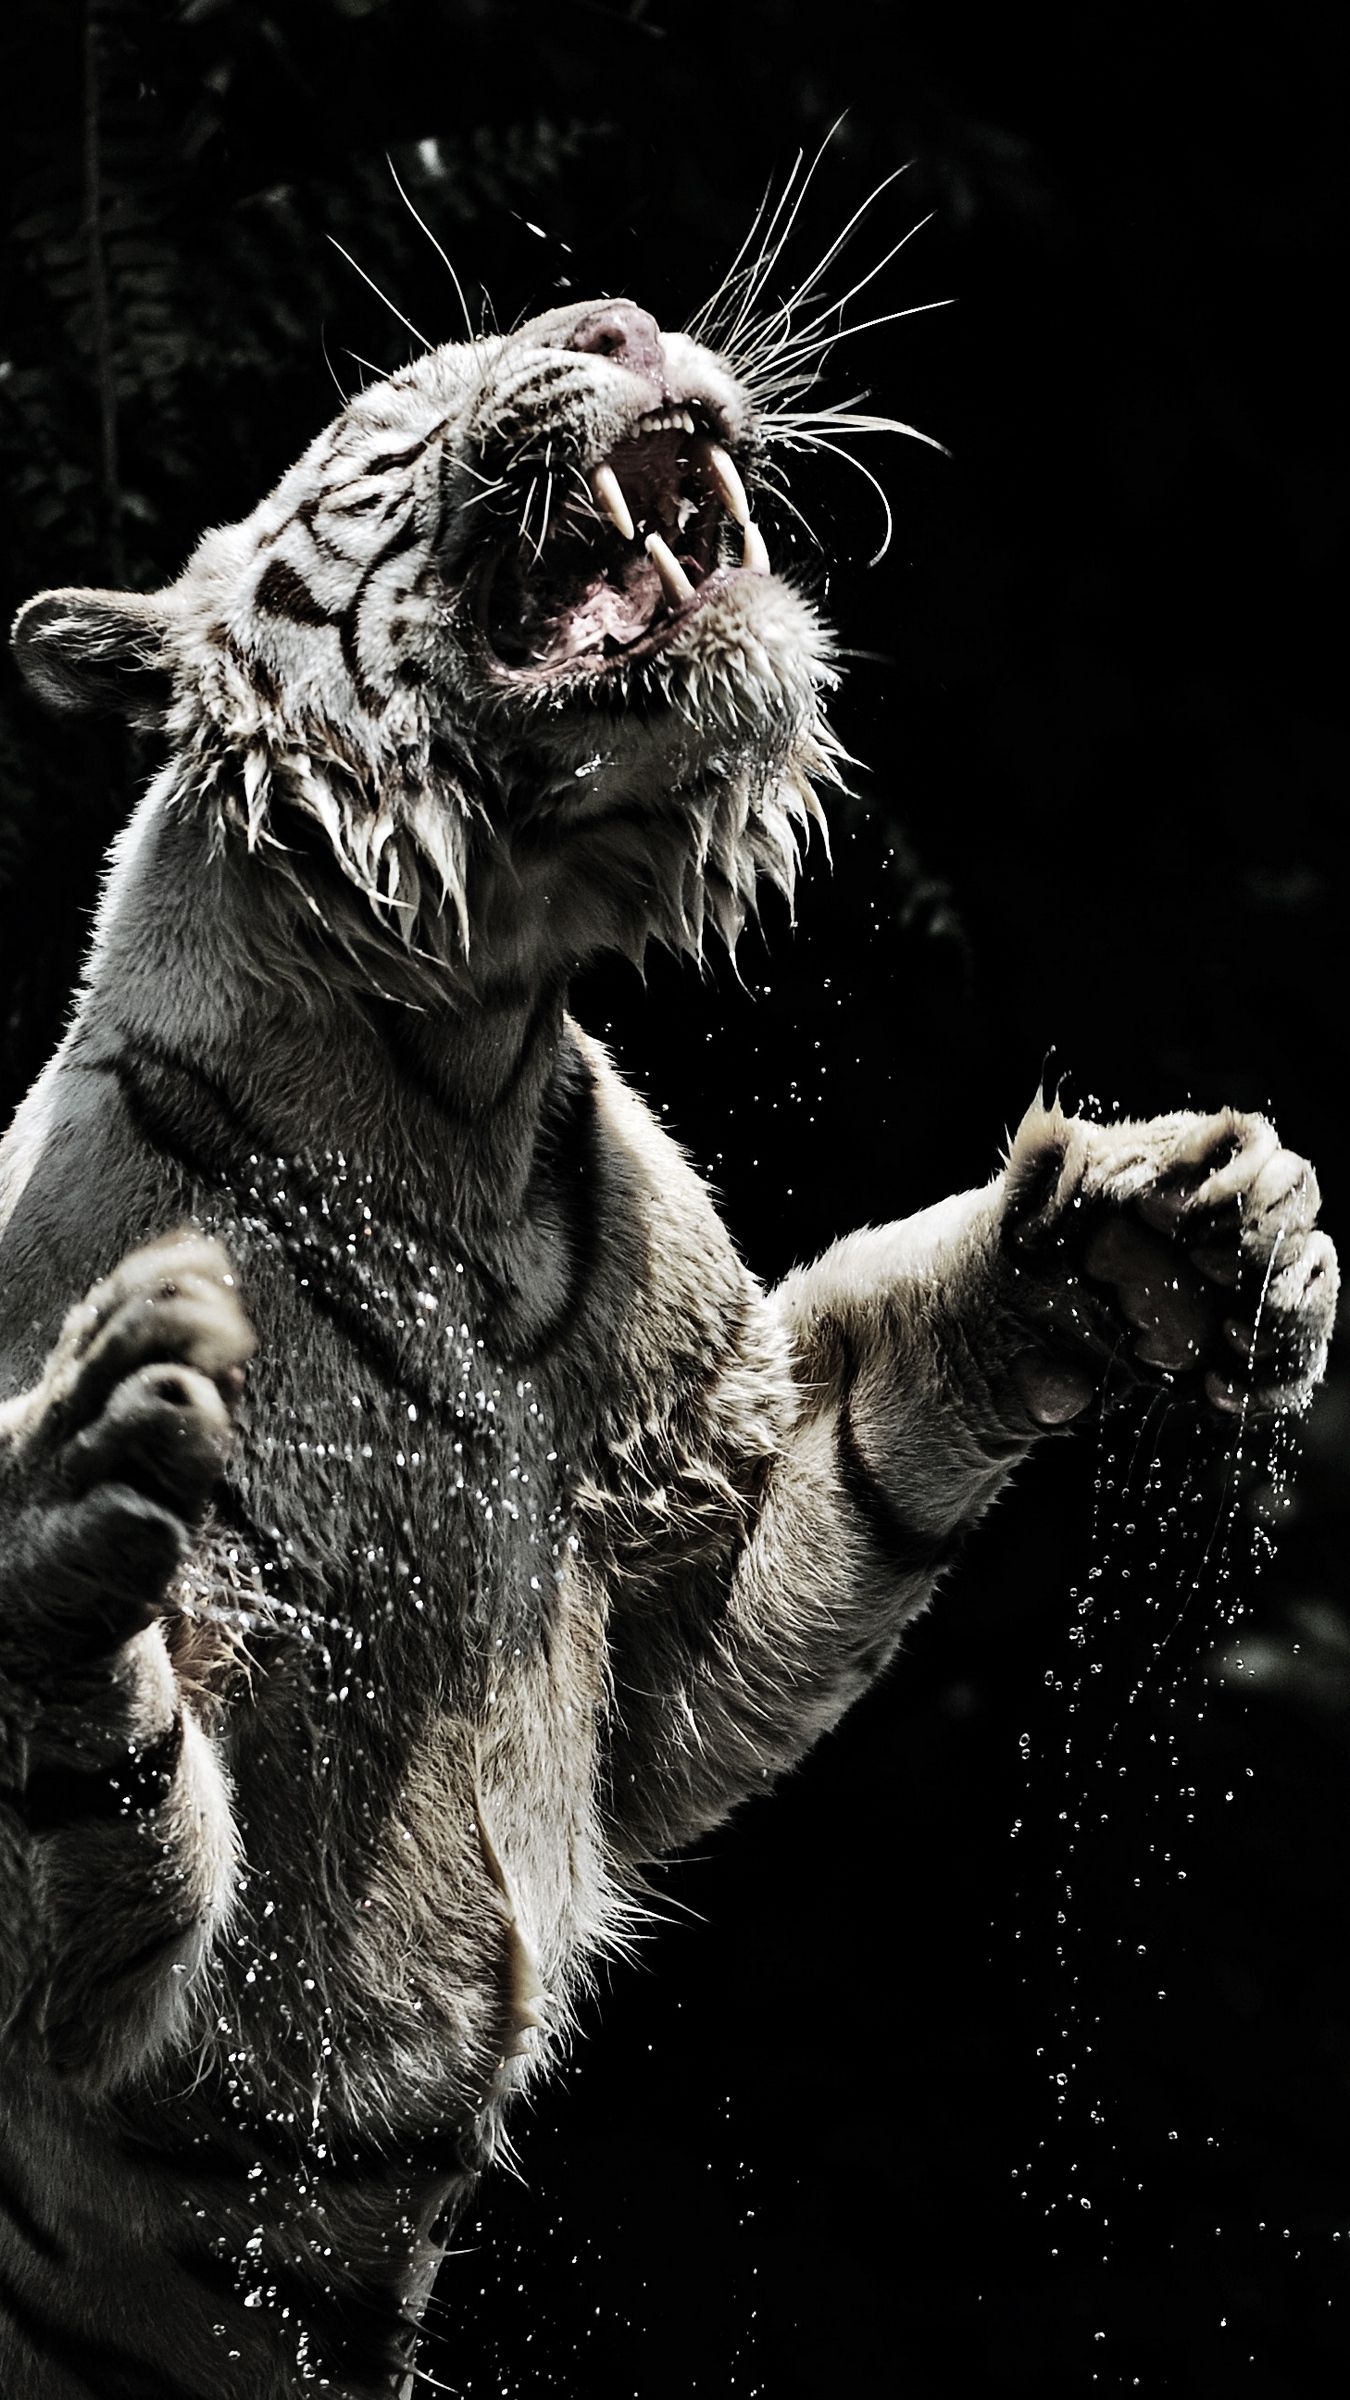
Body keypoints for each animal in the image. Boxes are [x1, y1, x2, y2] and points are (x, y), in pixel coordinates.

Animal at [0, 288, 1337, 2400]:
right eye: (398, 399)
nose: (619, 317)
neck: (455, 1064)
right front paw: (74, 1496)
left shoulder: (681, 1562)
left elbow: (878, 1427)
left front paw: (1181, 1223)